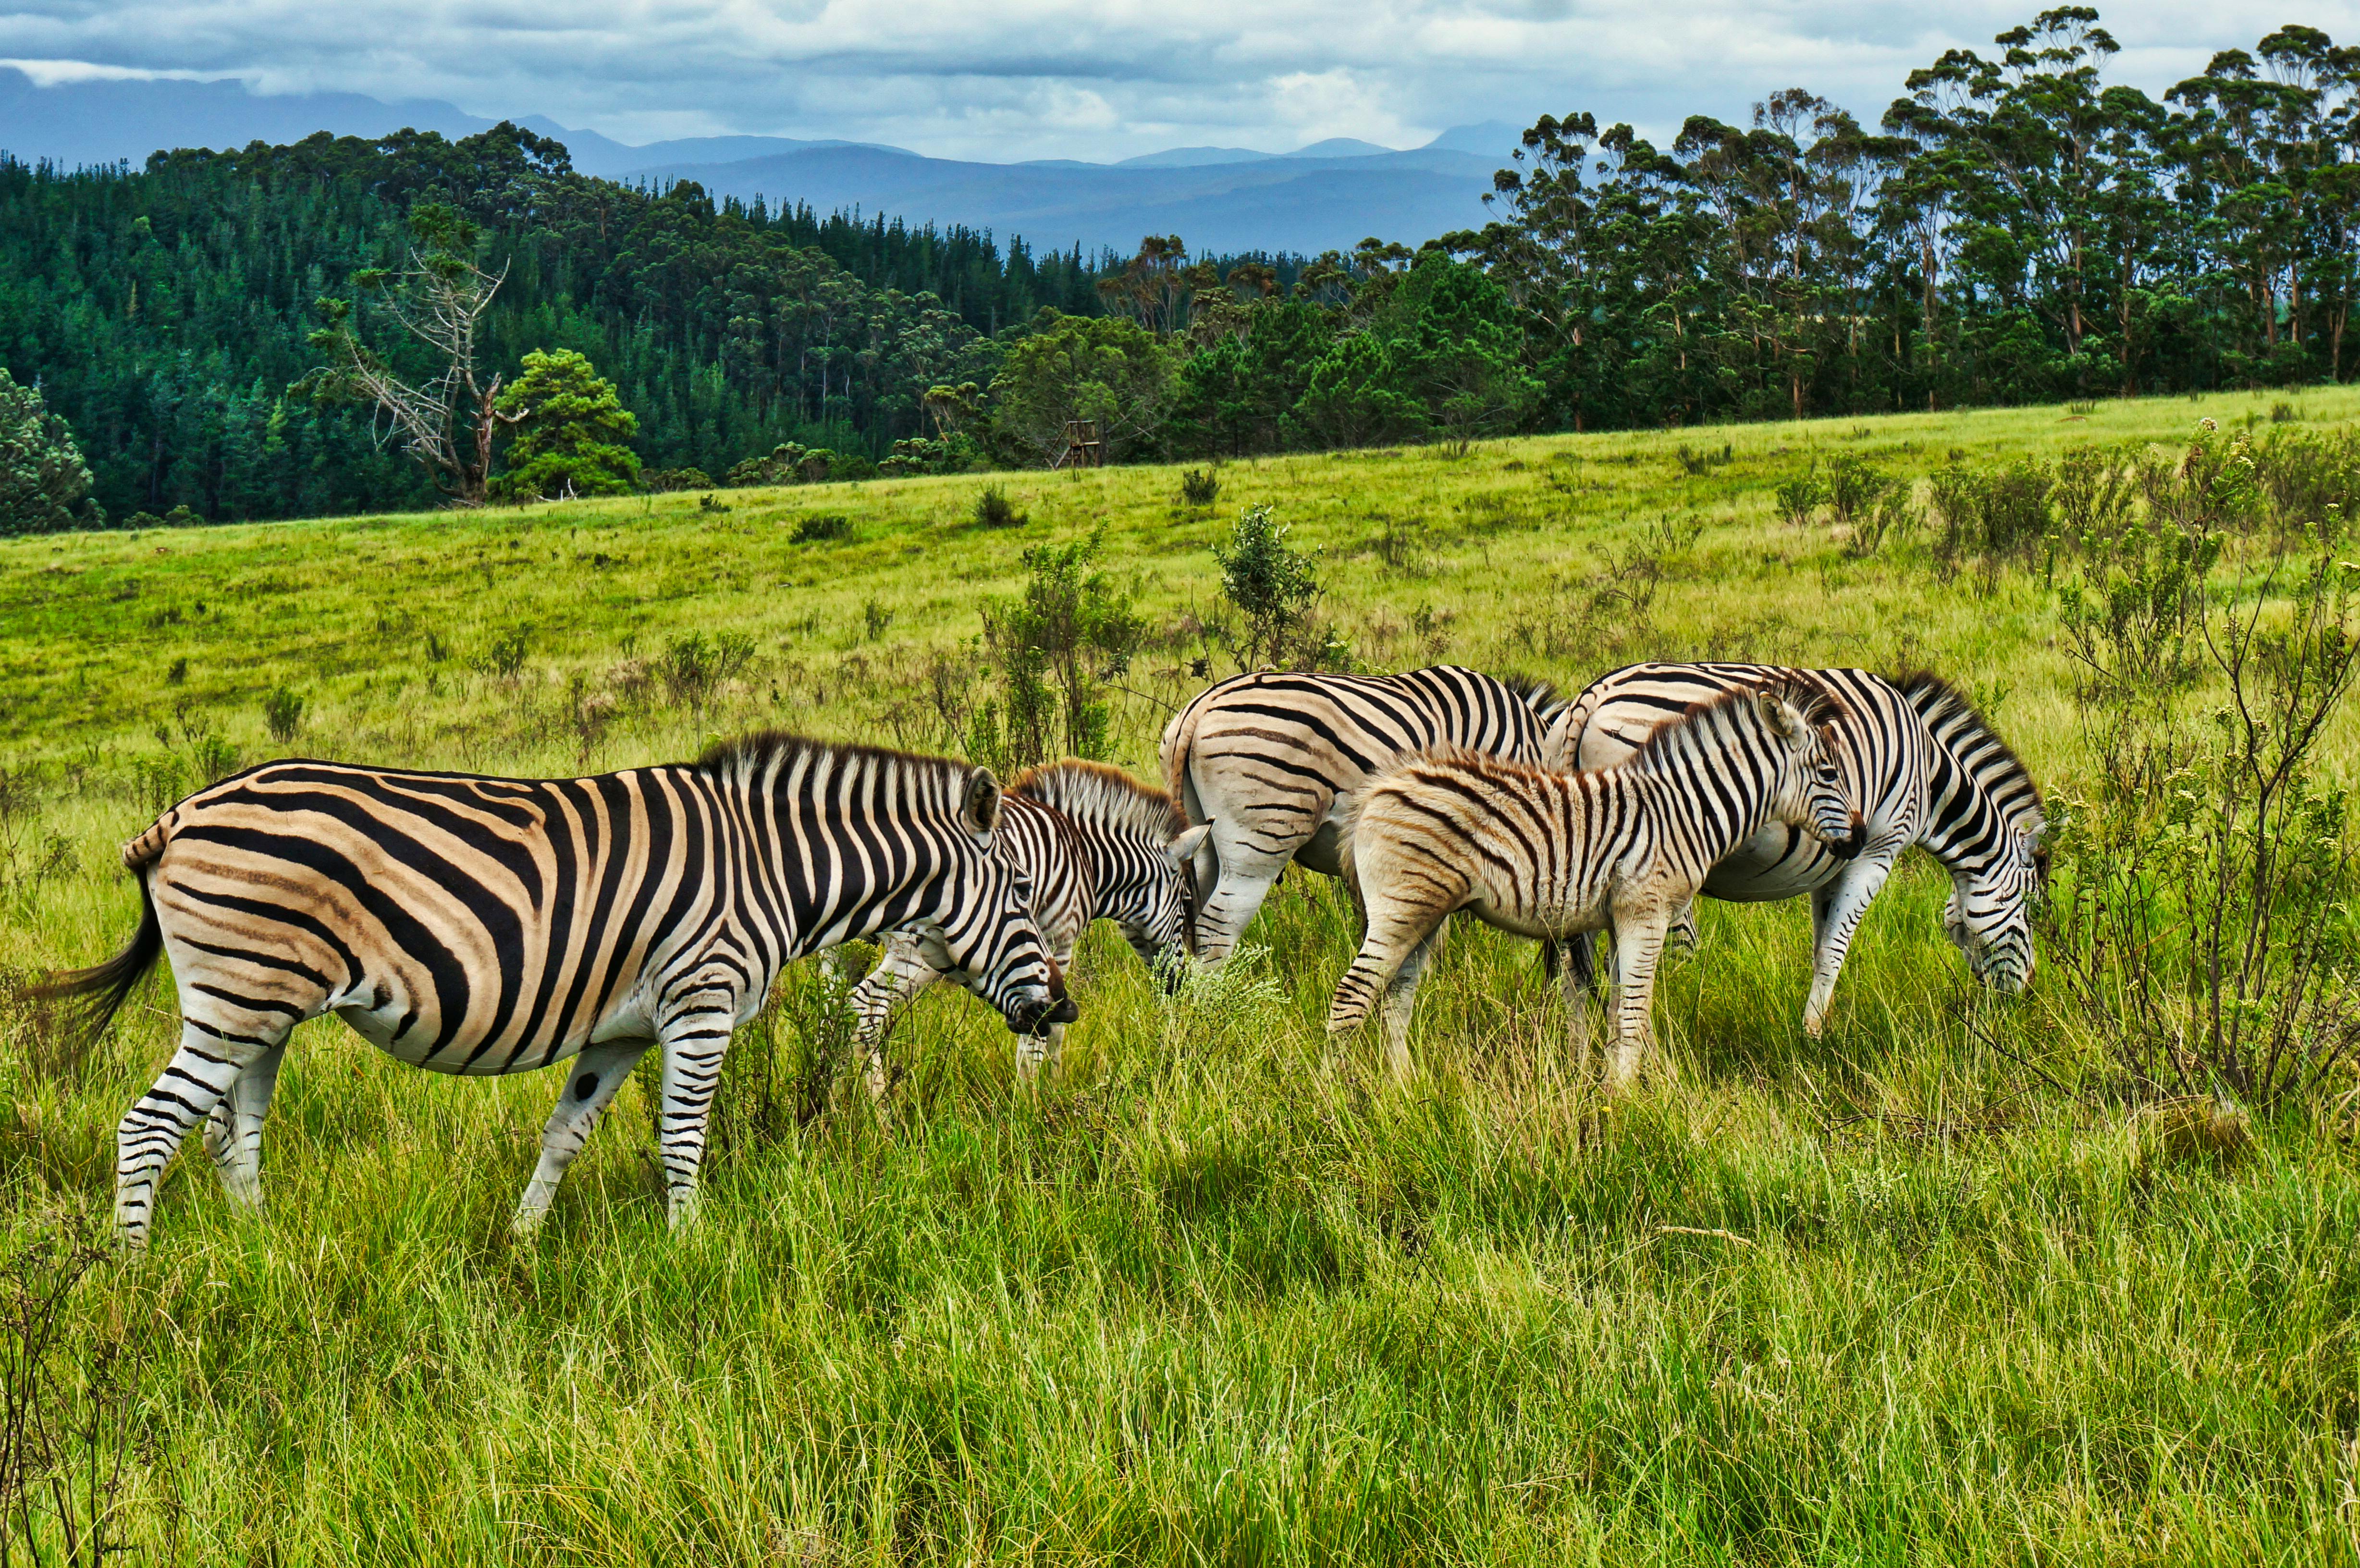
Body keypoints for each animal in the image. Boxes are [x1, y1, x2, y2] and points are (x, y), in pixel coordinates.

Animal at [30, 736, 1071, 1247]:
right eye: (1022, 890)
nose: (1062, 1012)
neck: (776, 865)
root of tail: (175, 815)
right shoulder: (700, 1003)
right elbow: (682, 1138)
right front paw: (692, 1249)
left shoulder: (621, 1030)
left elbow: (565, 1133)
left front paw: (523, 1244)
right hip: (238, 994)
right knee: (149, 1127)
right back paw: (132, 1271)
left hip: (265, 1009)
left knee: (228, 1133)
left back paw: (262, 1252)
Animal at [849, 760, 1208, 1091]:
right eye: (1186, 901)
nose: (1179, 985)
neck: (1086, 857)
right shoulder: (1058, 940)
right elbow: (1047, 1031)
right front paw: (1036, 1097)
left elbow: (1054, 1025)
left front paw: (1050, 1087)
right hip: (918, 954)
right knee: (864, 1009)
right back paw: (878, 1107)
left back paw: (845, 1097)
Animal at [1331, 685, 1859, 1091]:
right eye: (1829, 773)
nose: (1856, 842)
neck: (1683, 812)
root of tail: (1380, 787)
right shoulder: (1645, 912)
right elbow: (1634, 1009)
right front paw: (1626, 1098)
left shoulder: (1621, 918)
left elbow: (1623, 1009)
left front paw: (1620, 1084)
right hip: (1403, 906)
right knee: (1353, 993)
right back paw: (1333, 1098)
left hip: (1427, 912)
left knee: (1396, 996)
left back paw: (1404, 1089)